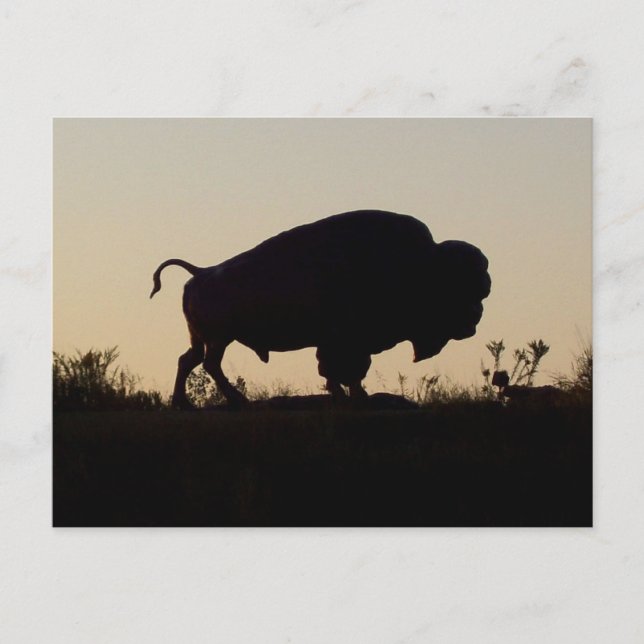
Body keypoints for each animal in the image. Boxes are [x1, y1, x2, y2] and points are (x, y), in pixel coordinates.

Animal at [150, 210, 491, 408]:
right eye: (460, 287)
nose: (475, 318)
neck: (419, 264)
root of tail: (201, 272)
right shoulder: (345, 341)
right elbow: (340, 370)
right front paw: (352, 397)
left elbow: (347, 372)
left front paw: (357, 396)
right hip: (219, 338)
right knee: (209, 364)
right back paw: (237, 400)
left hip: (204, 338)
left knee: (190, 360)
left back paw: (184, 403)